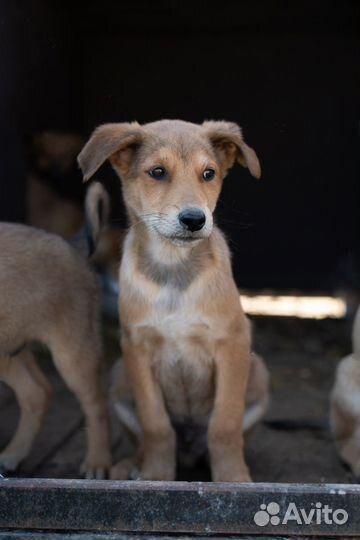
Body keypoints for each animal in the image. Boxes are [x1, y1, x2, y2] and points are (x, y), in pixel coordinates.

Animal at [0, 223, 111, 476]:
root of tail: (70, 245)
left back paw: (98, 462)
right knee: (36, 393)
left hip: (73, 353)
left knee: (96, 405)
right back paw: (12, 456)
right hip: (9, 351)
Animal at [79, 119, 270, 480]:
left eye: (209, 173)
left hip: (258, 372)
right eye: (157, 172)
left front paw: (233, 478)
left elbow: (225, 424)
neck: (173, 270)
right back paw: (130, 465)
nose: (194, 219)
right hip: (119, 375)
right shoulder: (137, 348)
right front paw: (156, 475)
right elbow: (156, 425)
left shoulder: (233, 343)